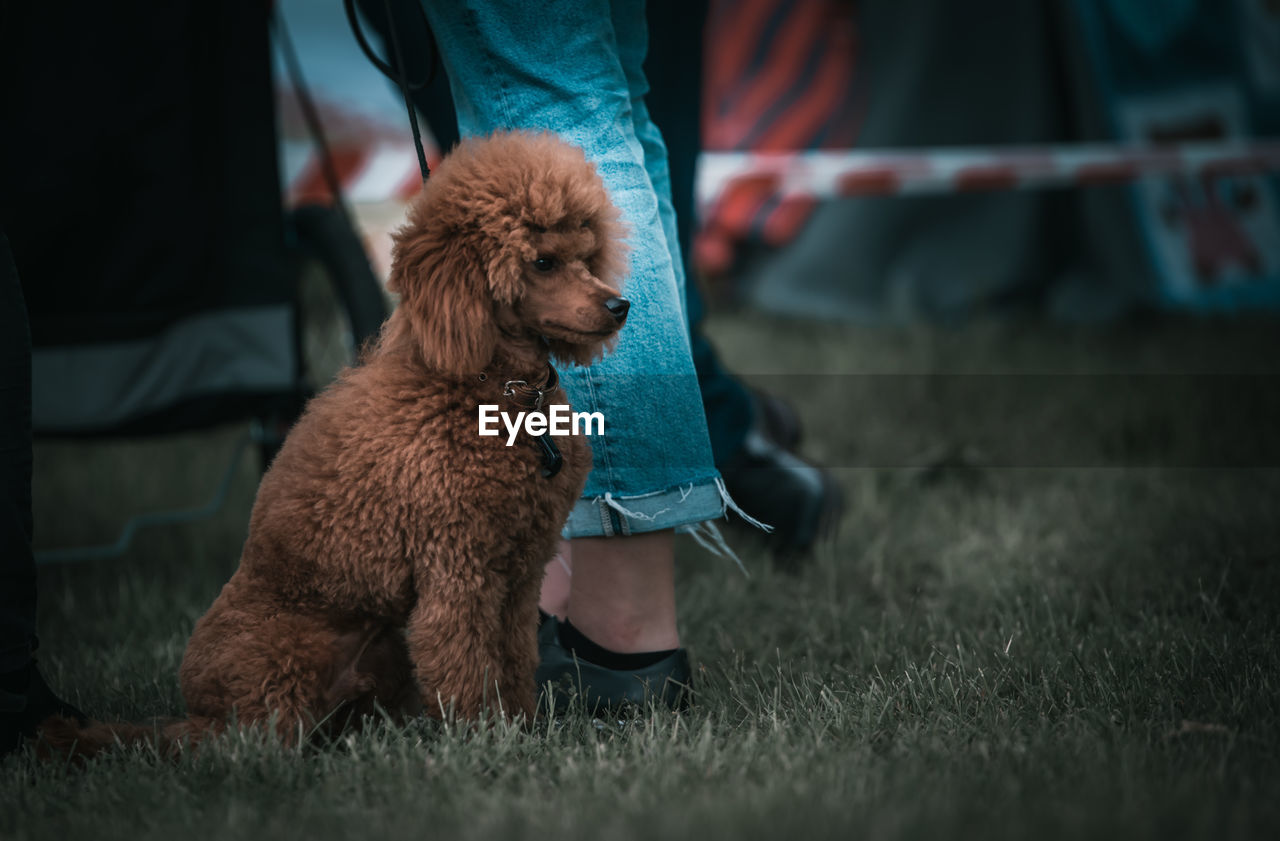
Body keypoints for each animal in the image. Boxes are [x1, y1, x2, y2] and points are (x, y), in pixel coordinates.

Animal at [42, 131, 632, 752]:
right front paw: (483, 739)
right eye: (542, 262)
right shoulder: (457, 570)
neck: (494, 389)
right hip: (282, 666)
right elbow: (467, 667)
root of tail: (196, 715)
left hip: (384, 652)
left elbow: (515, 660)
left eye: (587, 256)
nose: (621, 306)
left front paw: (520, 728)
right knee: (248, 738)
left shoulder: (520, 574)